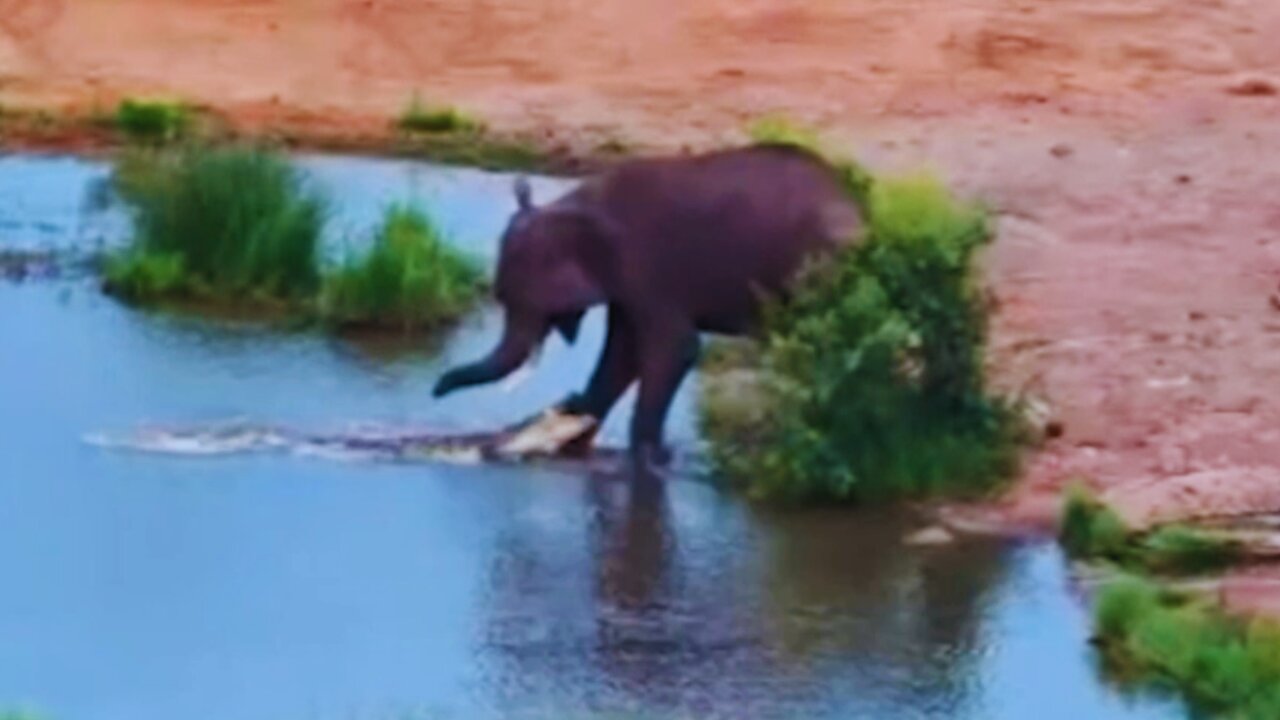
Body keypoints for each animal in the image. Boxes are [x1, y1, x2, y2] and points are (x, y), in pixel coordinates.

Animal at [435, 143, 865, 468]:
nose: (435, 390)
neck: (570, 204)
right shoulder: (625, 286)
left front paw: (649, 460)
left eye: (515, 299)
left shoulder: (646, 269)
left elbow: (674, 349)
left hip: (820, 268)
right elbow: (622, 357)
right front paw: (575, 438)